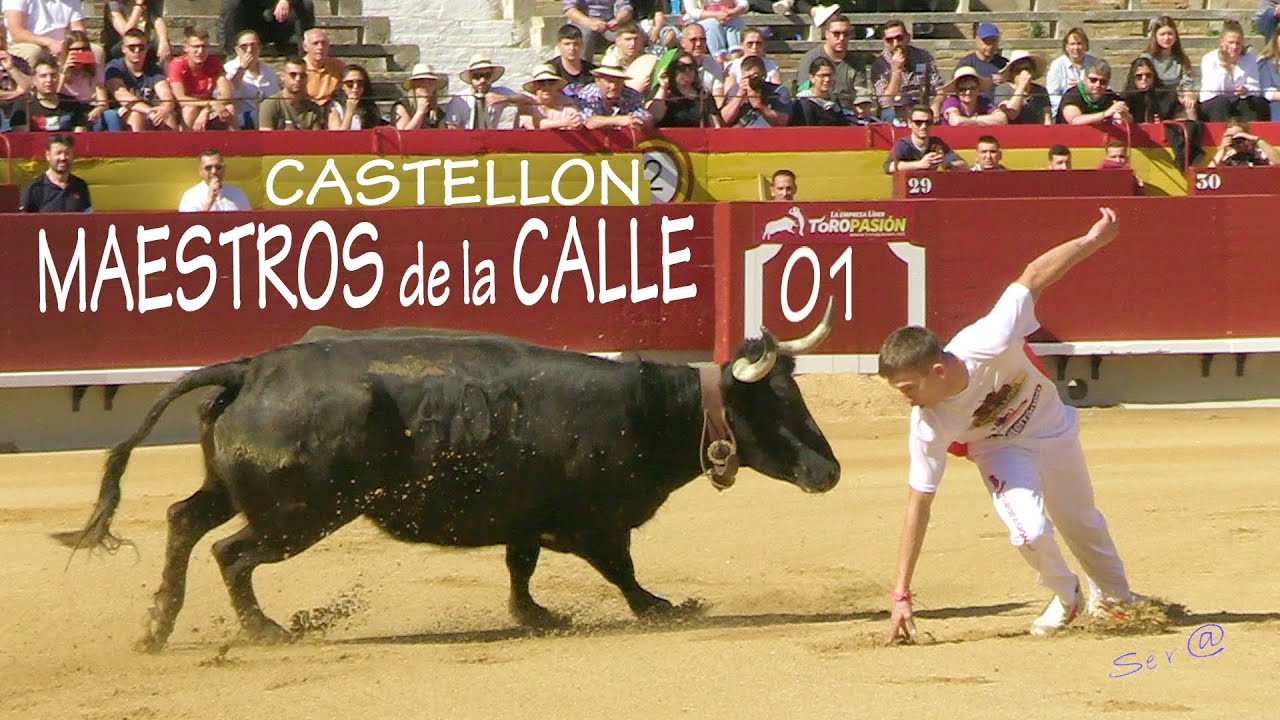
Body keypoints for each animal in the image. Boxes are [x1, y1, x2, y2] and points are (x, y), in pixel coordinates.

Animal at [62, 311, 839, 648]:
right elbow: (621, 570)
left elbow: (521, 567)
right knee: (232, 552)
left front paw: (535, 615)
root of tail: (250, 368)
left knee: (184, 522)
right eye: (775, 404)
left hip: (239, 491)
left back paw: (157, 626)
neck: (649, 409)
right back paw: (268, 629)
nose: (829, 470)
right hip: (300, 513)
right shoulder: (594, 520)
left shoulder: (528, 516)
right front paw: (665, 607)